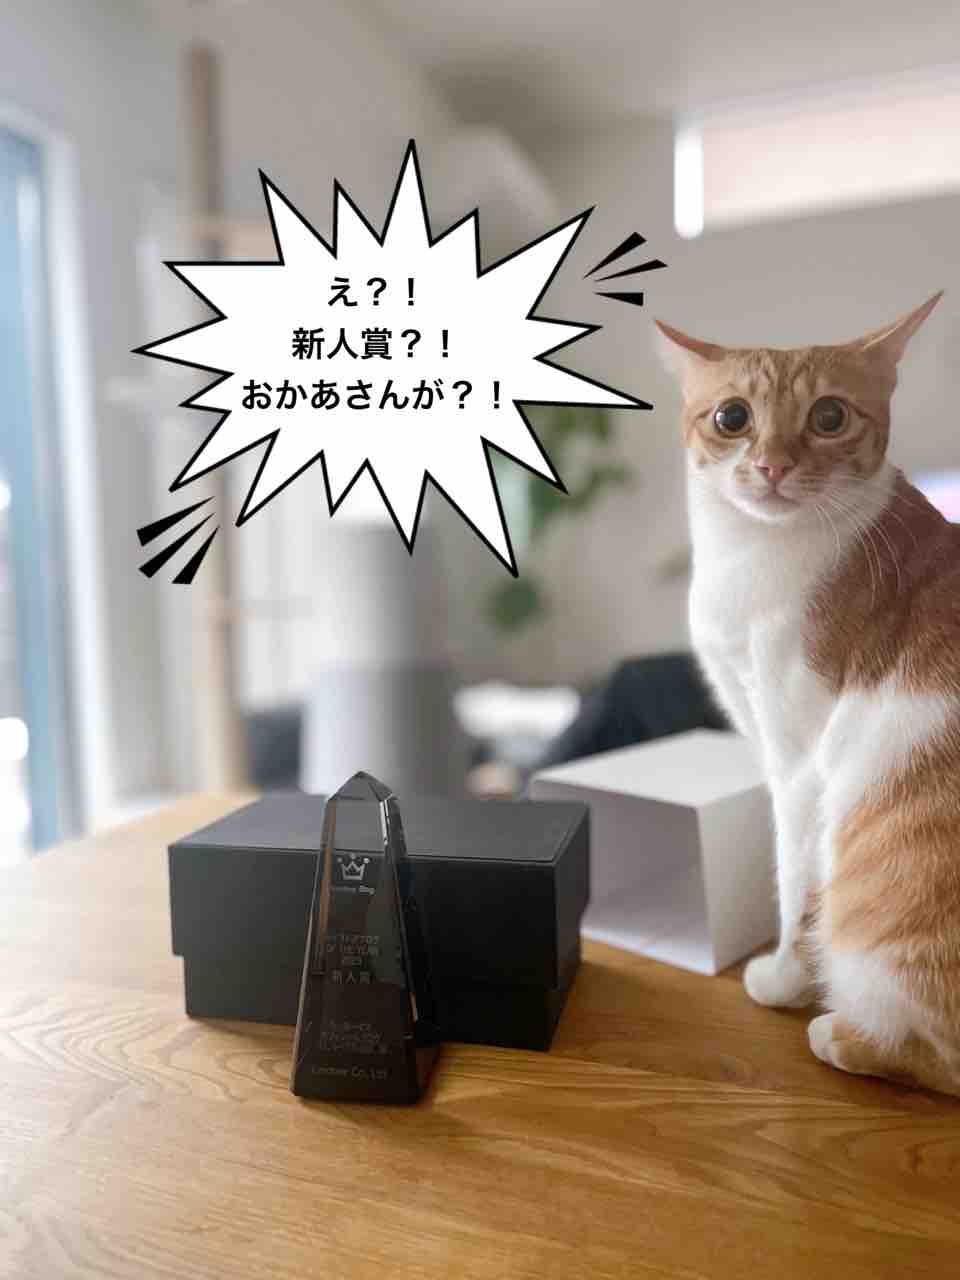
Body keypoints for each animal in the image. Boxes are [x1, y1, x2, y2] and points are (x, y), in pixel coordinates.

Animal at [656, 292, 960, 1097]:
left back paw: (843, 1034)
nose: (771, 464)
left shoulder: (796, 762)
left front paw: (784, 978)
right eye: (732, 417)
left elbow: (795, 883)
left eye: (829, 417)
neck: (750, 557)